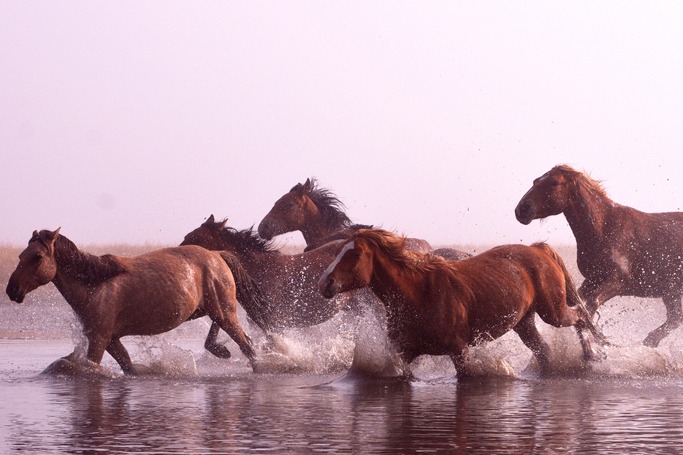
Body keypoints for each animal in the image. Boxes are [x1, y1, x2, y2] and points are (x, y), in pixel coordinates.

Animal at [6, 230, 256, 376]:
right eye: (20, 256)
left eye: (37, 256)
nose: (11, 290)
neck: (94, 286)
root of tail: (217, 255)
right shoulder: (111, 340)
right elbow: (129, 367)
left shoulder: (99, 340)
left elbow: (87, 366)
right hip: (210, 310)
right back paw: (220, 350)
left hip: (223, 311)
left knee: (247, 345)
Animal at [318, 230, 608, 380]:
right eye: (337, 251)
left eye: (356, 254)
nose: (324, 283)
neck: (418, 293)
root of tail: (539, 249)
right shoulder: (405, 351)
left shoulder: (458, 350)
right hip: (524, 322)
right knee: (544, 350)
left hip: (552, 311)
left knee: (580, 314)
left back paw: (591, 353)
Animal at [516, 166, 683, 348]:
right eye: (536, 181)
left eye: (554, 182)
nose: (521, 209)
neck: (604, 227)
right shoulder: (593, 279)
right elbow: (580, 304)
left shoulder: (619, 281)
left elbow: (591, 304)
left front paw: (595, 343)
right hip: (671, 291)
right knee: (675, 318)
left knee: (675, 319)